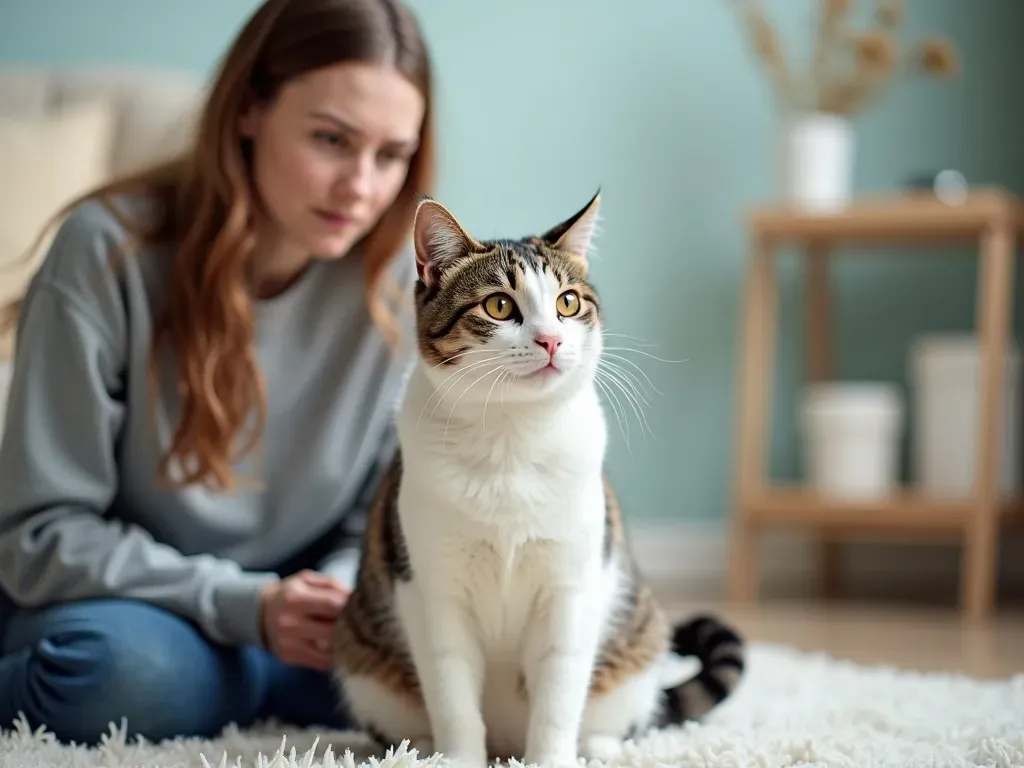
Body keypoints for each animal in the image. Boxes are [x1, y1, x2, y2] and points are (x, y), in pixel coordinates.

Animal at [333, 192, 745, 768]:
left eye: (568, 303)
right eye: (499, 306)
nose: (550, 339)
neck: (511, 440)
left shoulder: (570, 586)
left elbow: (558, 693)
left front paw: (552, 756)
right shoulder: (433, 588)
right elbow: (452, 693)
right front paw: (459, 757)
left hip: (636, 643)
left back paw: (598, 747)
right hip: (363, 662)